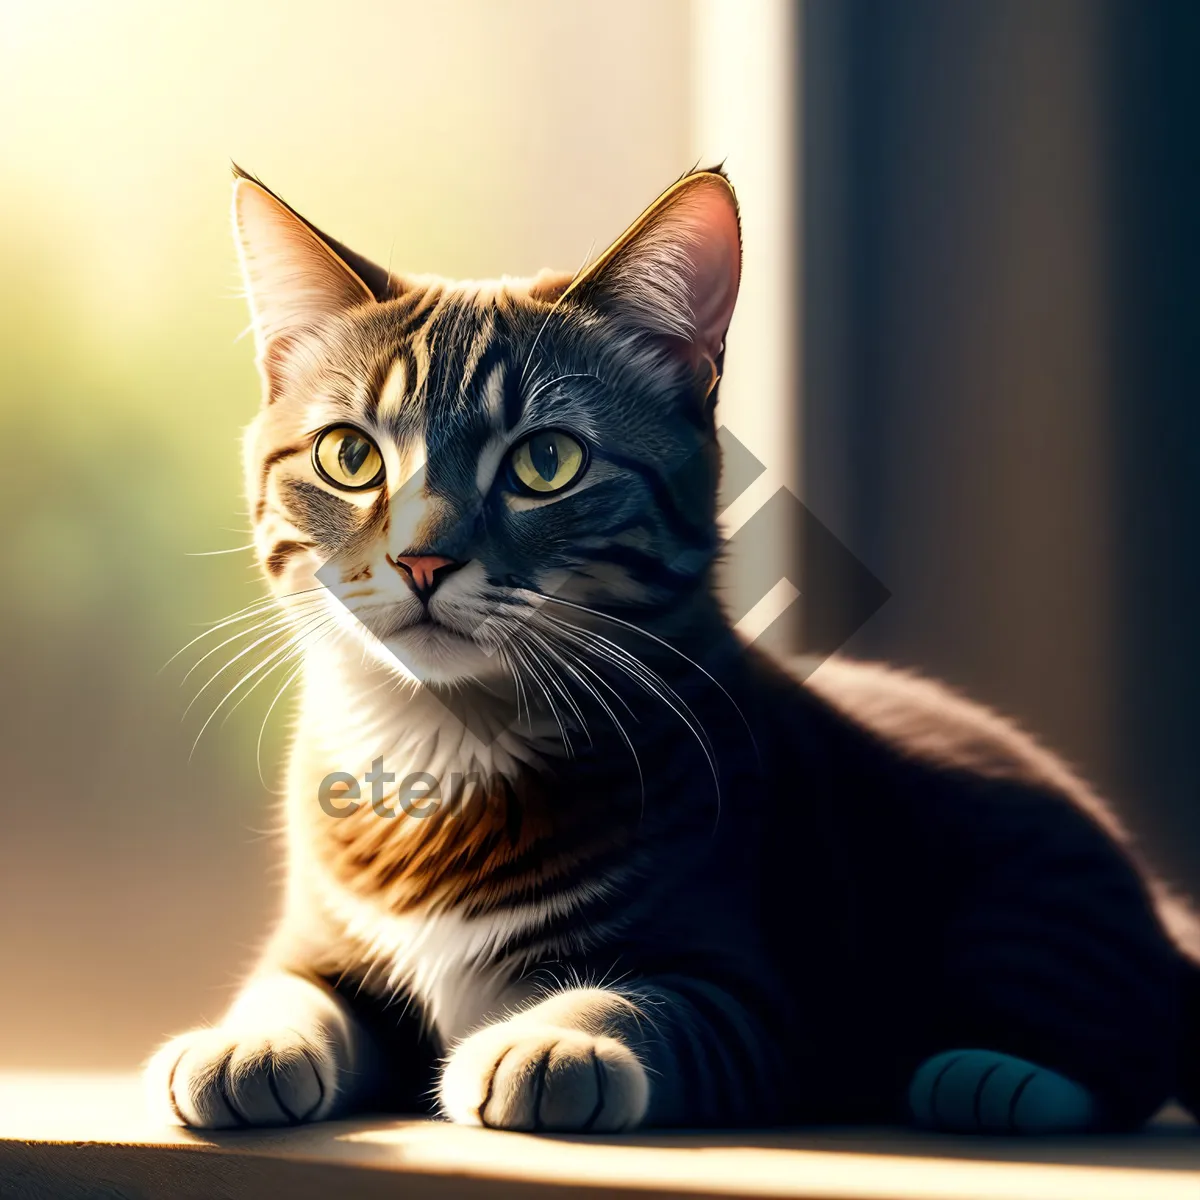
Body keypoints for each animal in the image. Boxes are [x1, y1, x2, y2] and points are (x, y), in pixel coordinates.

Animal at [147, 169, 1200, 1132]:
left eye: (546, 462)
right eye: (350, 456)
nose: (421, 558)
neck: (445, 740)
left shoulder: (746, 986)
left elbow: (648, 1001)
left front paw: (553, 1040)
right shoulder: (317, 942)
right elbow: (290, 986)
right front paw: (246, 1039)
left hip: (1029, 908)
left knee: (1128, 1043)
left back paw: (999, 1078)